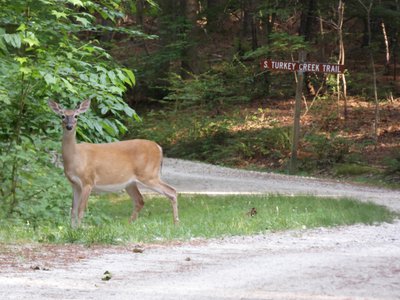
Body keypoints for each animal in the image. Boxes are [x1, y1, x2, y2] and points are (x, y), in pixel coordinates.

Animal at [47, 99, 179, 227]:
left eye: (76, 116)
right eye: (62, 116)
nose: (69, 126)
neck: (75, 157)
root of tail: (159, 147)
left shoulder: (88, 181)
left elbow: (80, 209)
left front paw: (79, 229)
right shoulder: (74, 184)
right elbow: (73, 209)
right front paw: (72, 229)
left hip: (149, 174)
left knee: (172, 191)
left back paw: (176, 223)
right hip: (131, 182)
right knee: (140, 200)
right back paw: (129, 224)